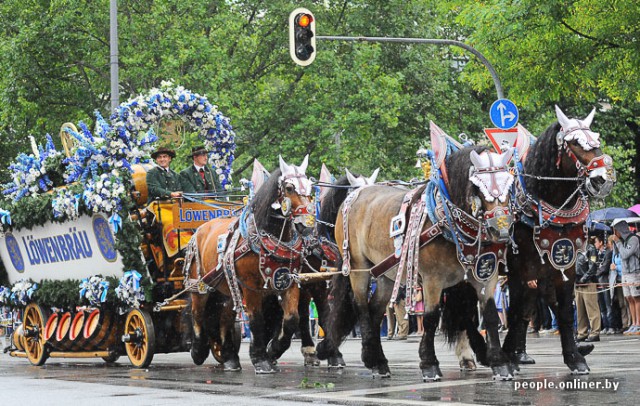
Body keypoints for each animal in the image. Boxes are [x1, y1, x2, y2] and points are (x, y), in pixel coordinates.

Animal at [184, 156, 316, 374]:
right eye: (289, 188)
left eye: (311, 187)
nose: (307, 224)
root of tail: (200, 230)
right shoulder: (251, 287)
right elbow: (256, 320)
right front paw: (261, 359)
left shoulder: (288, 282)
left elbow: (291, 319)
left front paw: (273, 350)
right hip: (200, 285)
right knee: (197, 314)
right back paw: (198, 351)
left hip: (227, 288)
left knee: (225, 318)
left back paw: (230, 358)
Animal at [318, 123, 516, 380]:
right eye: (478, 186)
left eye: (510, 184)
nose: (500, 230)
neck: (446, 220)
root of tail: (353, 196)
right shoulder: (433, 280)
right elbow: (431, 317)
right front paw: (429, 363)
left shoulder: (484, 276)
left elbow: (489, 315)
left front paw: (499, 363)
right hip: (357, 267)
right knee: (360, 306)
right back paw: (370, 357)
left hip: (386, 273)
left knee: (375, 309)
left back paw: (378, 361)